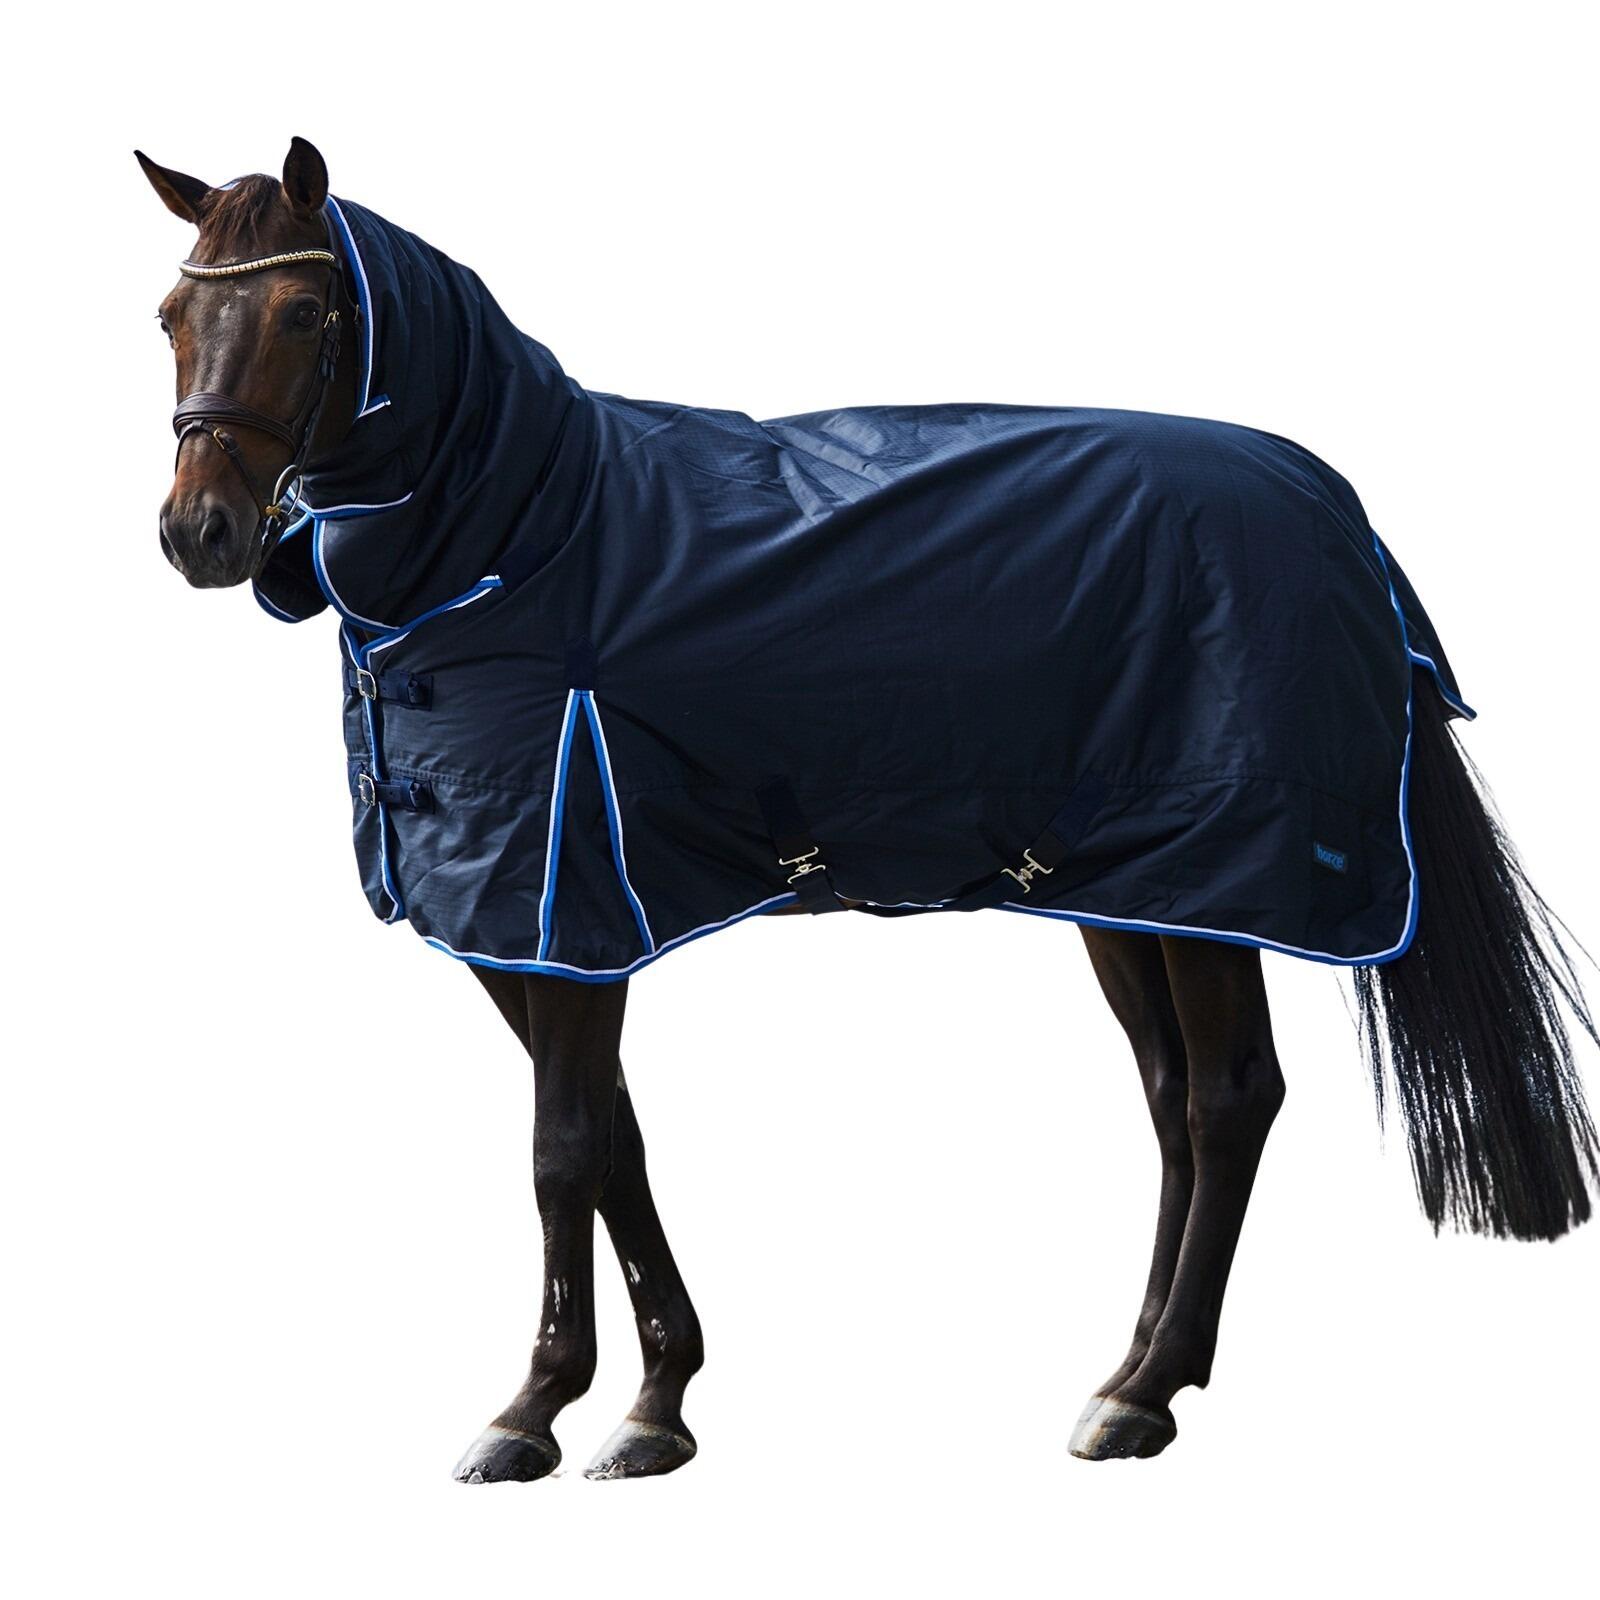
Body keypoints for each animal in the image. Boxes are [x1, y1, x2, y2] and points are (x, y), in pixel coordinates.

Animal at [140, 138, 1599, 1479]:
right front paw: (658, 1402)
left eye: (307, 313)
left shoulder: (566, 901)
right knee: (1174, 1099)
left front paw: (534, 1411)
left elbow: (562, 1151)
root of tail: (1339, 516)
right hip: (1129, 888)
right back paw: (1127, 1366)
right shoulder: (524, 932)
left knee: (1229, 1099)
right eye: (169, 315)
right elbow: (618, 1142)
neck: (520, 536)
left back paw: (1145, 1395)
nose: (199, 533)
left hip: (1218, 882)